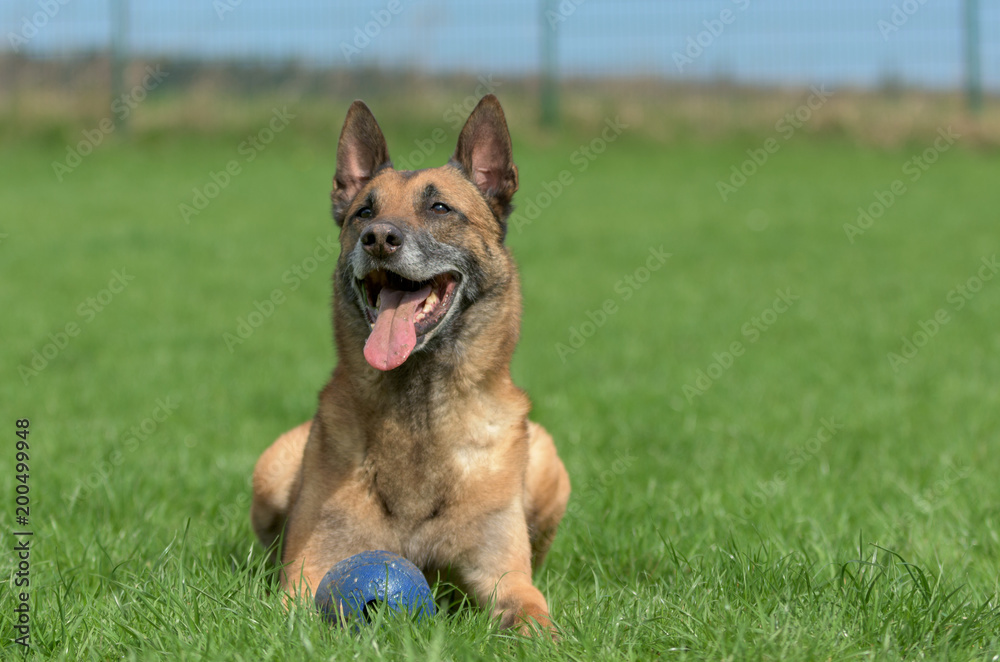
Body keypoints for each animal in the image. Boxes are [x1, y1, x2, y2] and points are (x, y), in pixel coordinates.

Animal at [252, 93, 572, 632]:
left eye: (440, 207)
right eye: (364, 212)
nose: (379, 238)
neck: (418, 411)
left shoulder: (504, 576)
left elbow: (533, 614)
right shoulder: (309, 570)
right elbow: (287, 613)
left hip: (550, 468)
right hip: (270, 471)